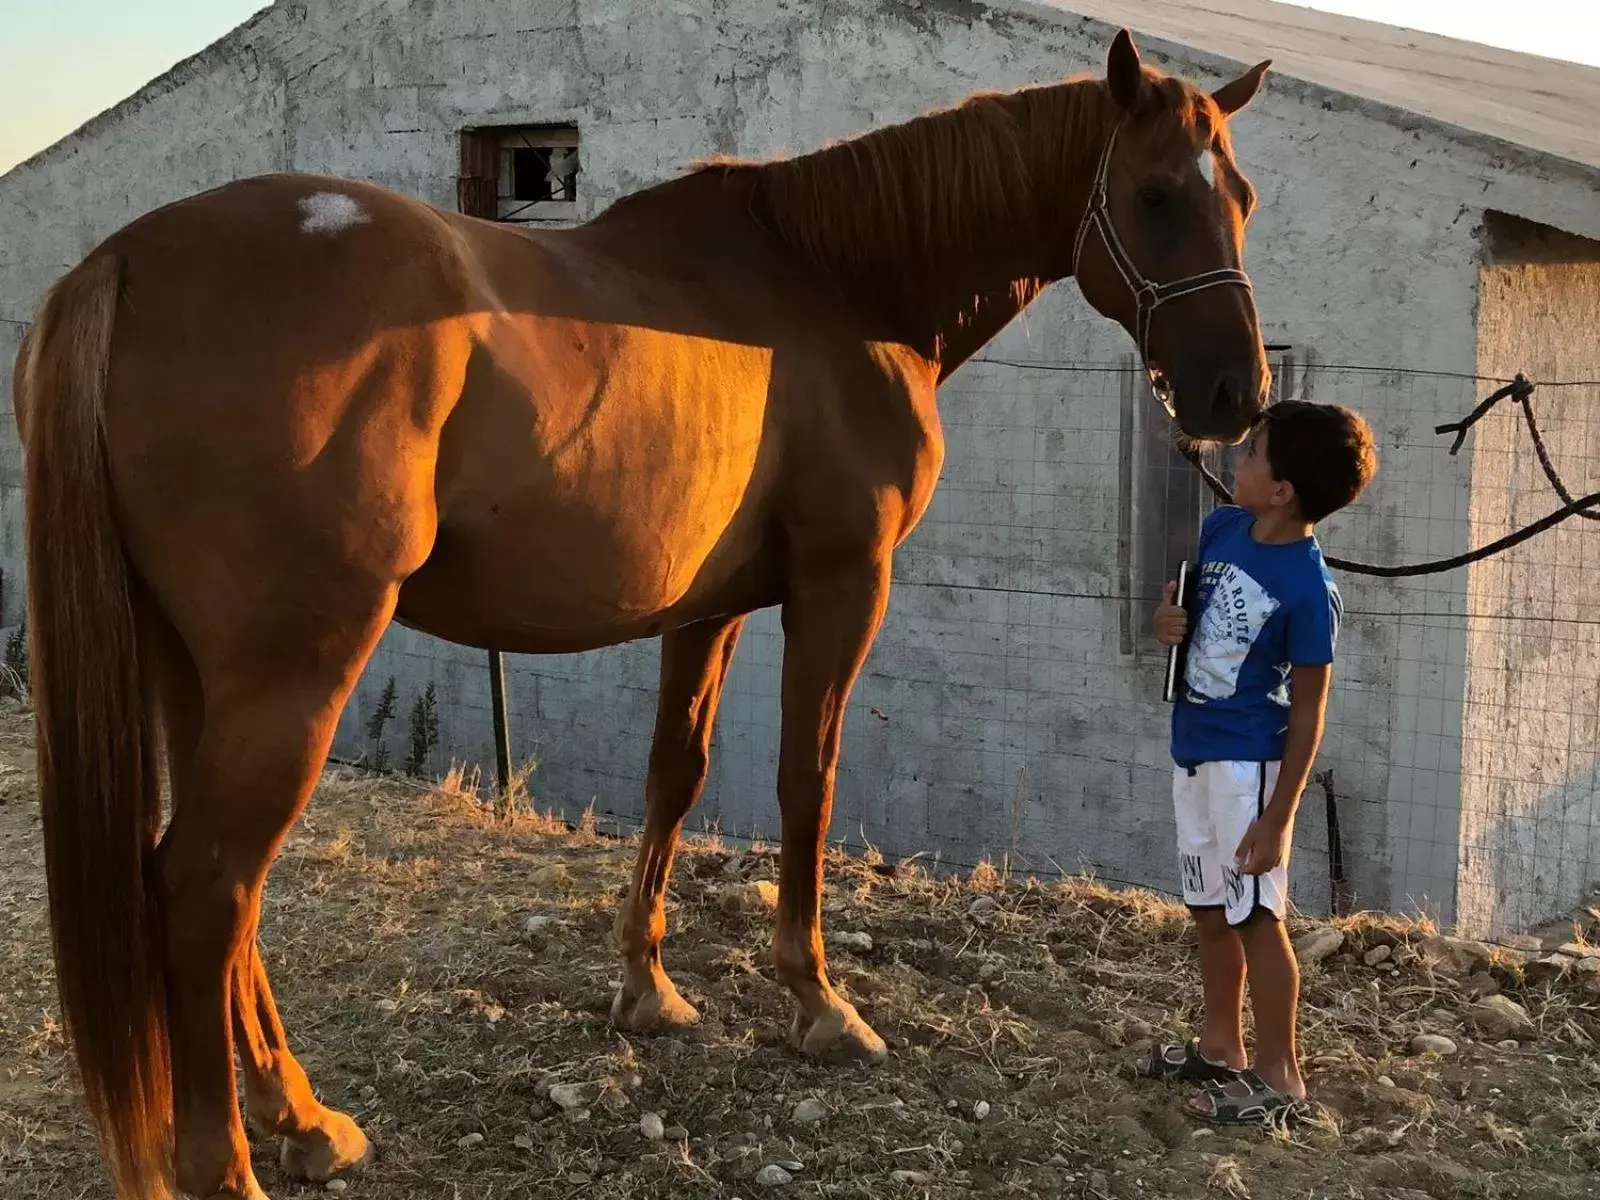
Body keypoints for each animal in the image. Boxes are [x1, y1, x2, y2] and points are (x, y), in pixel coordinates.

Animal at [6, 28, 1267, 1200]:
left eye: (1242, 198)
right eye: (1155, 196)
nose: (1234, 393)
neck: (835, 284)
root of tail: (123, 260)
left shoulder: (705, 607)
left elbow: (676, 773)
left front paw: (646, 989)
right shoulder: (841, 583)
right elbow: (804, 781)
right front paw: (817, 1002)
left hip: (196, 671)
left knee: (216, 889)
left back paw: (300, 1115)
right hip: (294, 671)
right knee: (207, 885)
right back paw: (228, 1157)